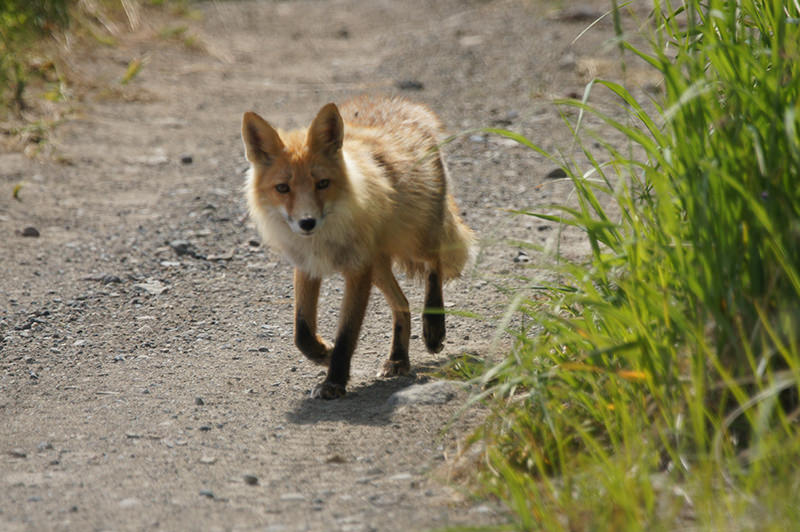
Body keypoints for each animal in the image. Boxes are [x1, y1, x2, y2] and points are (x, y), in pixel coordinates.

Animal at [241, 94, 472, 400]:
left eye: (322, 183)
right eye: (282, 188)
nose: (307, 223)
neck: (324, 239)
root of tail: (403, 104)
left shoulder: (358, 269)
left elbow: (347, 334)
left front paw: (334, 380)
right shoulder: (308, 265)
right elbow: (302, 332)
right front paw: (322, 354)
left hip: (412, 240)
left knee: (434, 263)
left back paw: (433, 328)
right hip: (379, 266)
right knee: (402, 304)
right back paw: (398, 358)